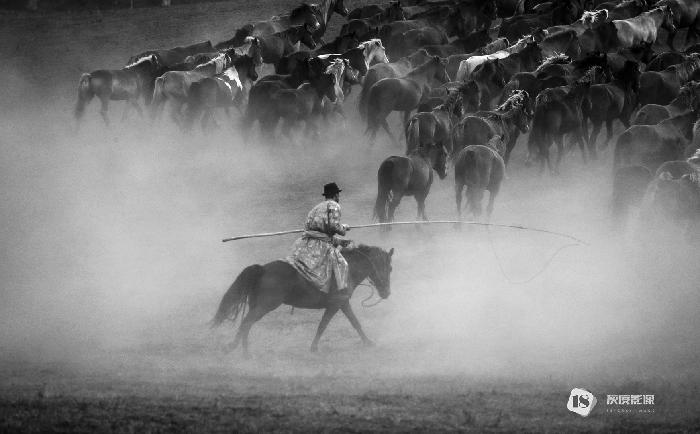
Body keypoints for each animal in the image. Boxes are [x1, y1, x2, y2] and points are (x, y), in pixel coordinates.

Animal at [211, 244, 394, 355]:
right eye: (389, 267)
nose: (386, 293)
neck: (347, 269)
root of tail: (262, 269)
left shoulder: (343, 304)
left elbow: (355, 323)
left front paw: (368, 342)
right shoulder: (336, 304)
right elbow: (323, 325)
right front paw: (314, 348)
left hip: (255, 305)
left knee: (246, 324)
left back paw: (243, 351)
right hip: (264, 306)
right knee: (246, 323)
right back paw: (239, 350)